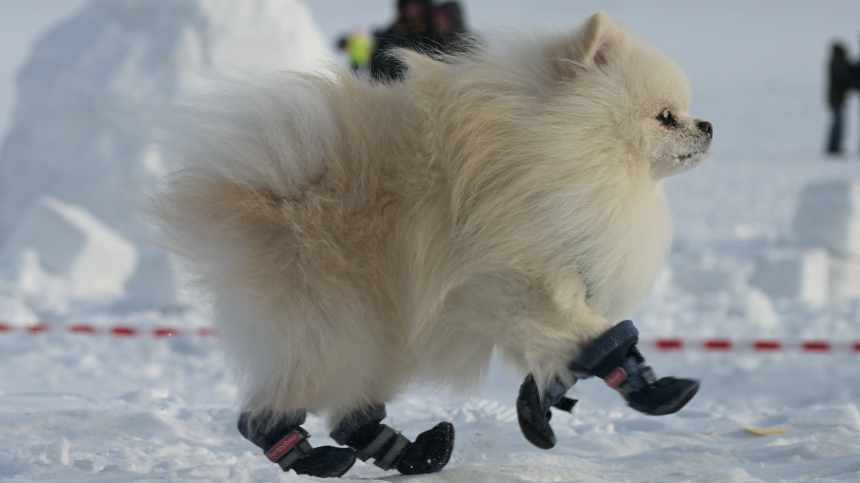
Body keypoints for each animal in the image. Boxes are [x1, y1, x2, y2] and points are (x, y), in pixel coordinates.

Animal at [155, 12, 712, 480]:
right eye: (665, 116)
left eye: (683, 112)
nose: (707, 125)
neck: (571, 153)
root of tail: (265, 189)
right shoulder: (512, 283)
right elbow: (595, 336)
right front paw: (649, 384)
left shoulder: (530, 293)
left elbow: (562, 358)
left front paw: (542, 407)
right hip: (338, 330)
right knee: (266, 412)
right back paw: (311, 454)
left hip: (376, 340)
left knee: (349, 413)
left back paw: (414, 452)